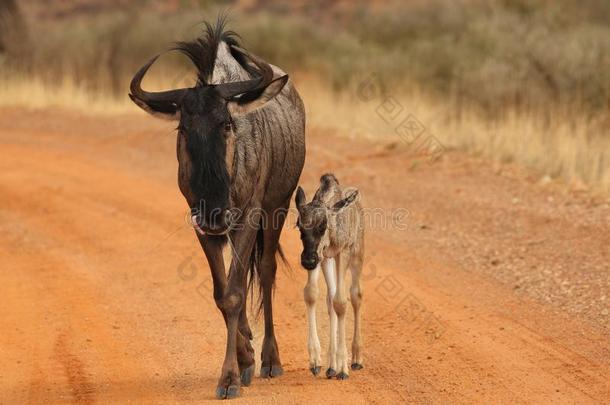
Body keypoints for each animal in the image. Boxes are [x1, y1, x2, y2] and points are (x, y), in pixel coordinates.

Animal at [296, 174, 364, 378]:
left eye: (323, 226)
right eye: (299, 226)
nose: (307, 261)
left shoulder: (343, 252)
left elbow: (342, 302)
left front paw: (343, 368)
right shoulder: (322, 256)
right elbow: (312, 294)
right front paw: (315, 361)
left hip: (357, 253)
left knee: (356, 295)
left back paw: (356, 359)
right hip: (327, 261)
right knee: (330, 298)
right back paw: (331, 365)